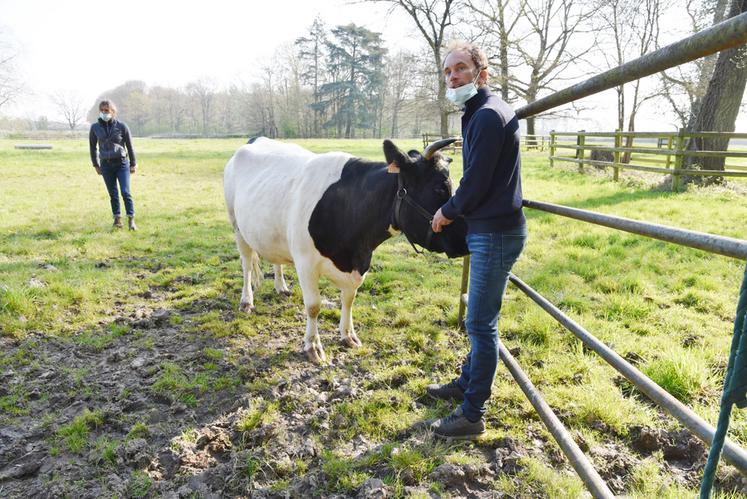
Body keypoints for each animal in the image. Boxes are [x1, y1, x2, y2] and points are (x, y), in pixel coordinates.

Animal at [224, 137, 468, 364]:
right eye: (439, 188)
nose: (465, 241)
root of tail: (256, 140)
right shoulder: (305, 263)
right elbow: (313, 306)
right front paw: (313, 346)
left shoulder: (360, 263)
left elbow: (349, 299)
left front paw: (348, 336)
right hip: (237, 226)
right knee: (246, 265)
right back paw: (247, 301)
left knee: (276, 259)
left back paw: (281, 287)